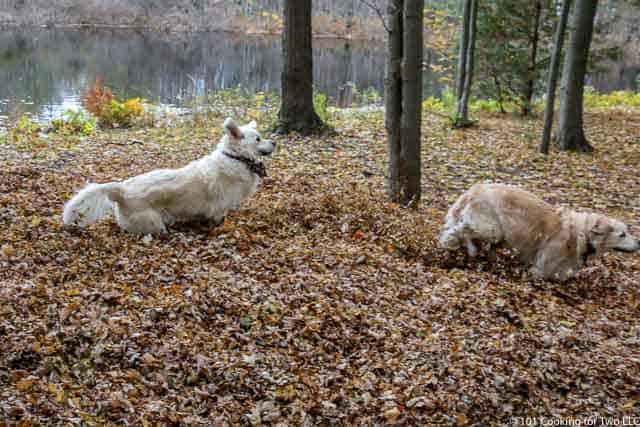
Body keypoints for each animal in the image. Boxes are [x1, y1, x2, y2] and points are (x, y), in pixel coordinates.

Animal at [62, 118, 276, 236]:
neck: (236, 158)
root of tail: (121, 190)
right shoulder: (219, 209)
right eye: (258, 139)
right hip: (153, 224)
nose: (274, 142)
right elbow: (219, 218)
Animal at [440, 183, 640, 280]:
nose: (639, 242)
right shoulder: (541, 268)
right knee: (459, 230)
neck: (581, 234)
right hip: (493, 229)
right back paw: (463, 247)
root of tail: (474, 189)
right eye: (622, 234)